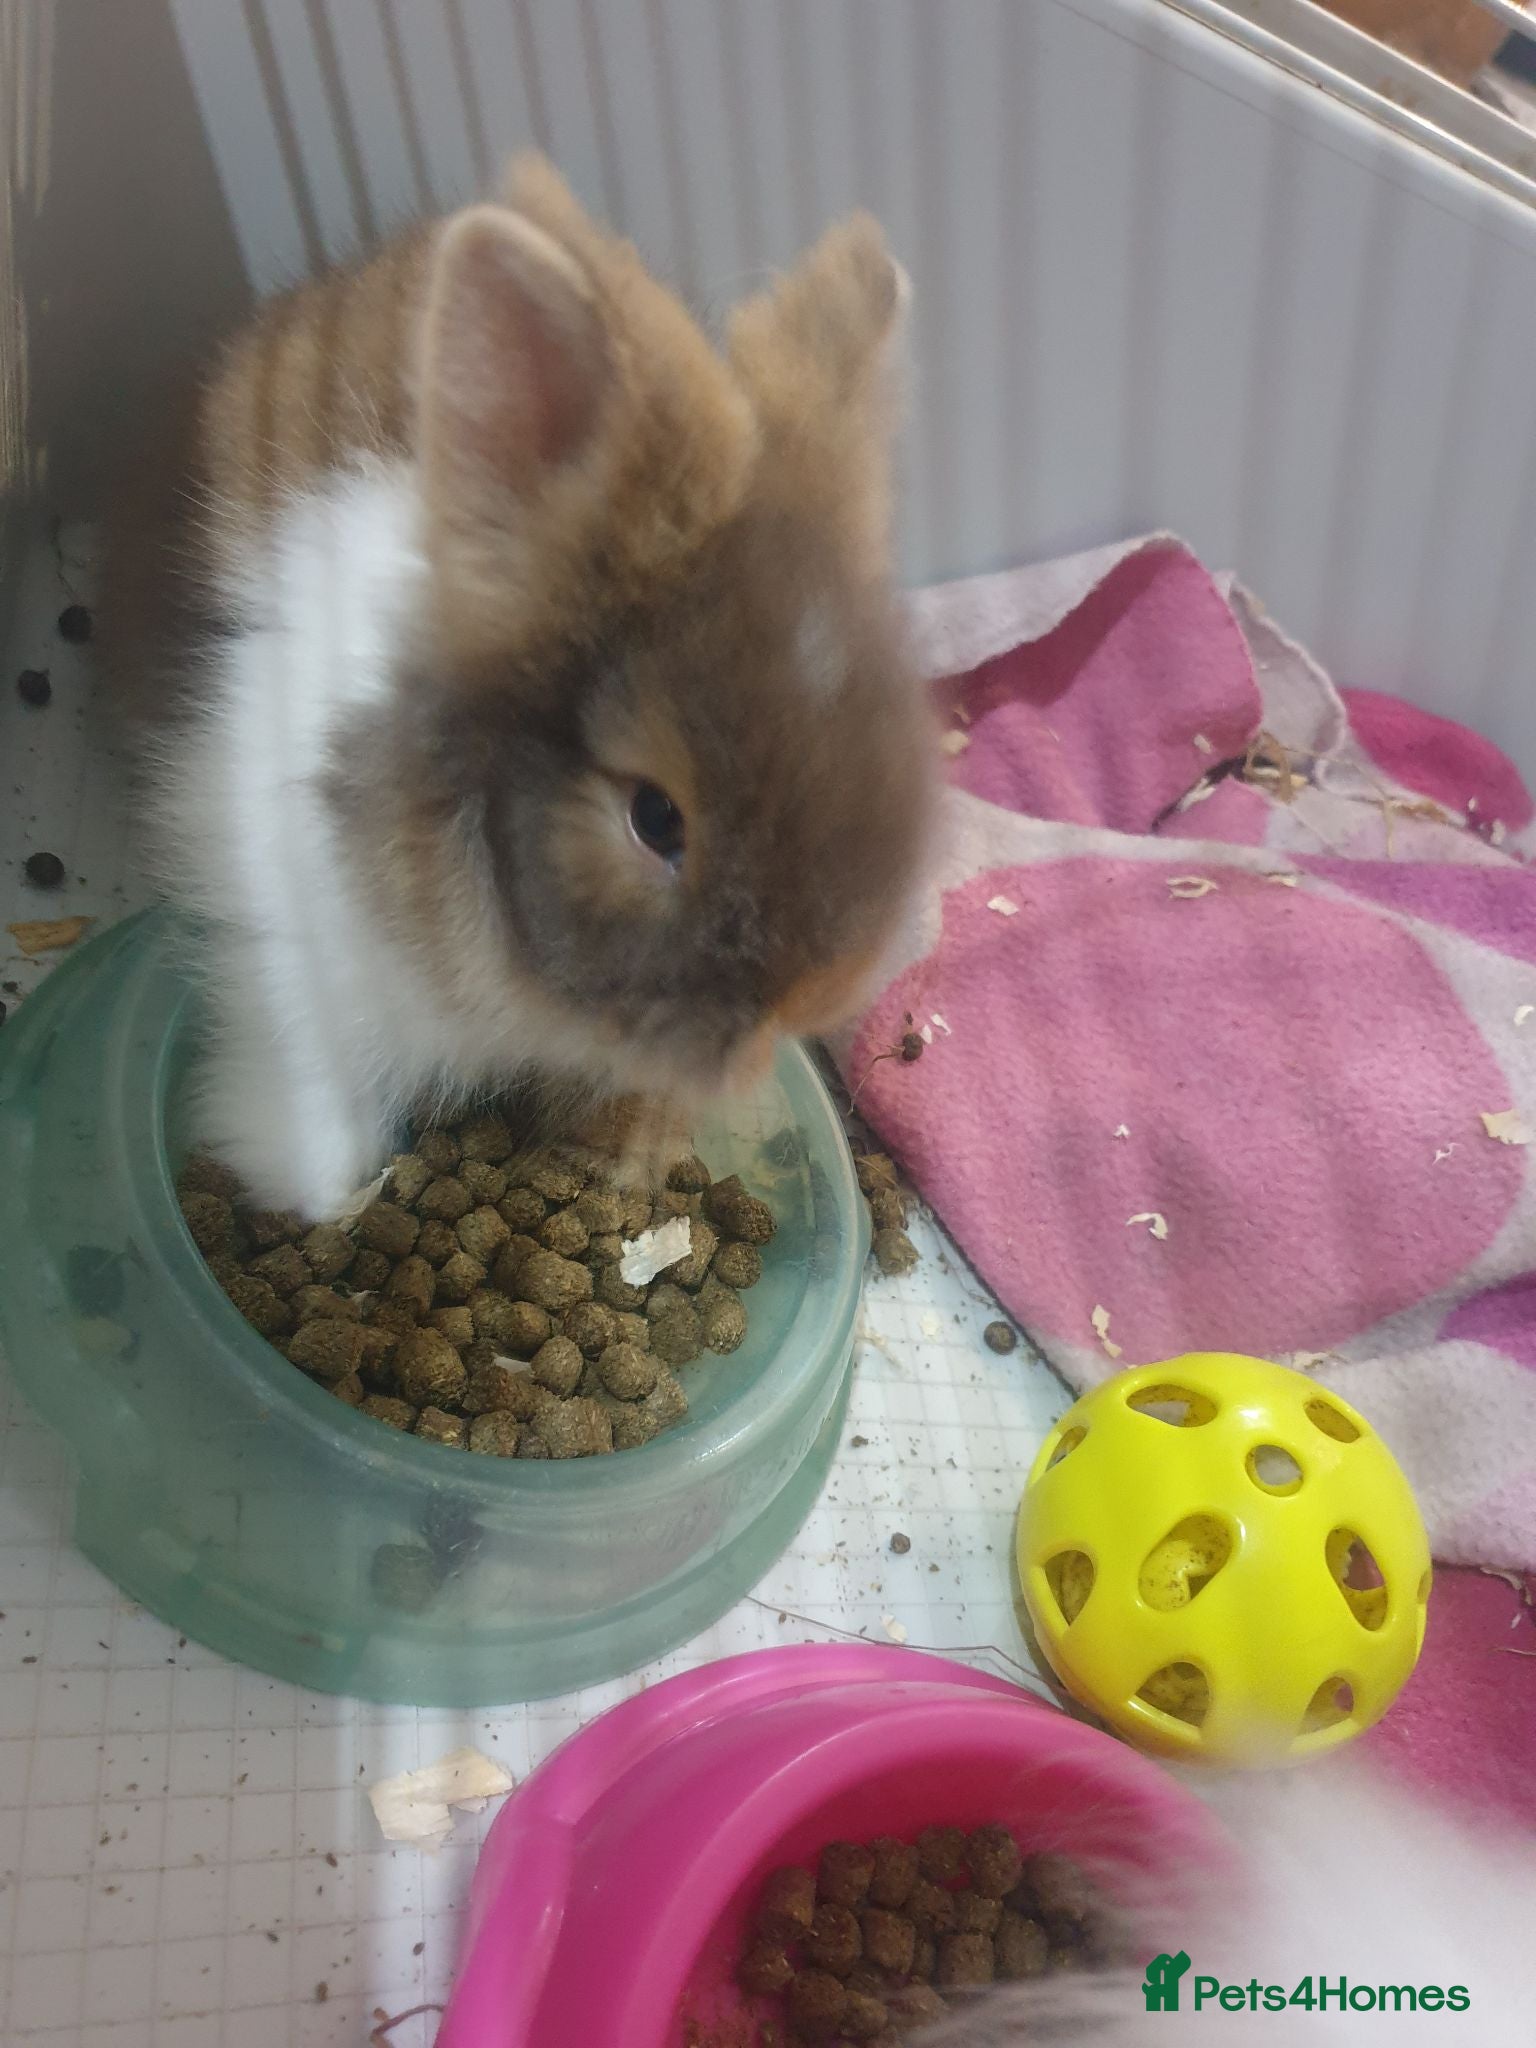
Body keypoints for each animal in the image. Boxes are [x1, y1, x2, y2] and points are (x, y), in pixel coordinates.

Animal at [109, 156, 934, 1219]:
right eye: (655, 818)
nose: (806, 1002)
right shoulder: (288, 945)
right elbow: (307, 1089)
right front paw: (320, 1197)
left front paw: (632, 1157)